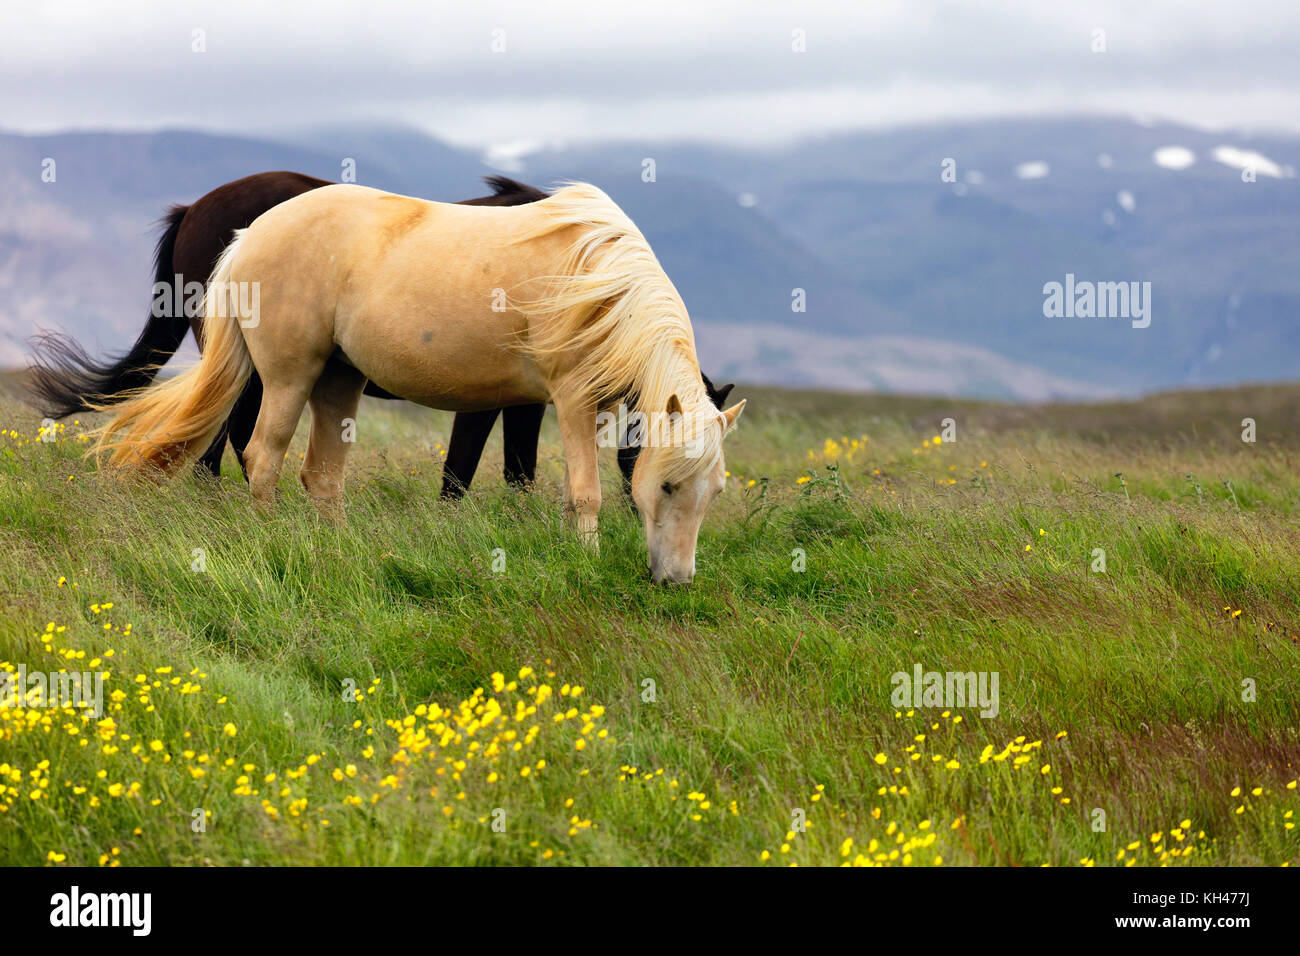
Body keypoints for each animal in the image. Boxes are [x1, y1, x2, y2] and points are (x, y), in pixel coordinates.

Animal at [89, 182, 746, 583]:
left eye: (714, 492)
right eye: (668, 486)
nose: (675, 580)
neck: (600, 282)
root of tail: (250, 234)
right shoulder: (571, 401)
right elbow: (584, 493)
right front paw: (585, 563)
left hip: (340, 381)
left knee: (321, 477)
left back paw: (337, 553)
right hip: (287, 379)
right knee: (261, 458)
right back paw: (273, 542)